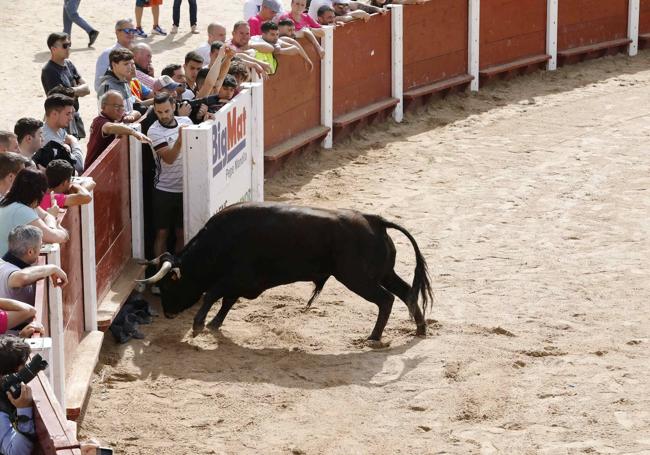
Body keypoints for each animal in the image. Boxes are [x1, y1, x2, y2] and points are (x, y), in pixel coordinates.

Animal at [141, 203, 432, 342]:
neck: (218, 241)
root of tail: (375, 220)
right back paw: (420, 328)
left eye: (167, 286)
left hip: (357, 278)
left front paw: (198, 325)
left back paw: (373, 337)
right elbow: (226, 300)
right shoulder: (240, 283)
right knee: (407, 292)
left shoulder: (238, 278)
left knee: (386, 299)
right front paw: (213, 324)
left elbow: (214, 293)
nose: (167, 314)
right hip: (382, 273)